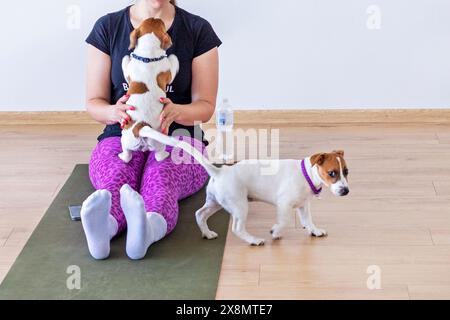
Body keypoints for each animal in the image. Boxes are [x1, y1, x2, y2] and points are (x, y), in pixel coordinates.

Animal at [118, 17, 180, 162]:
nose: (156, 17)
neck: (149, 56)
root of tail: (142, 126)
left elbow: (125, 59)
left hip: (130, 140)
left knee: (131, 155)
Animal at [139, 129, 350, 246]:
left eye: (346, 171)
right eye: (332, 173)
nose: (346, 191)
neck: (306, 175)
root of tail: (219, 172)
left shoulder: (303, 205)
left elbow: (308, 220)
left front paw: (314, 230)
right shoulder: (284, 204)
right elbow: (284, 220)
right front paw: (276, 232)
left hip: (216, 202)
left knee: (200, 214)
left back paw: (207, 233)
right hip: (240, 206)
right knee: (237, 228)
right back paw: (254, 240)